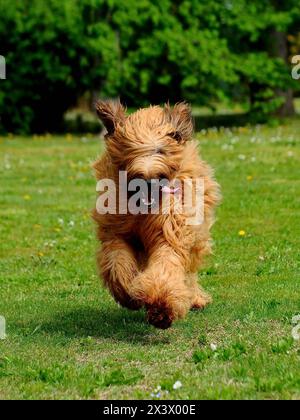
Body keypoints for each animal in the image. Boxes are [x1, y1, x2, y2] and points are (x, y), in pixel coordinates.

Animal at [92, 101, 221, 328]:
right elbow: (117, 261)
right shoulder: (116, 231)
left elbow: (167, 262)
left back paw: (194, 297)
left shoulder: (170, 229)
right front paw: (127, 292)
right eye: (130, 150)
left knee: (189, 271)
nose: (149, 178)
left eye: (161, 150)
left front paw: (161, 307)